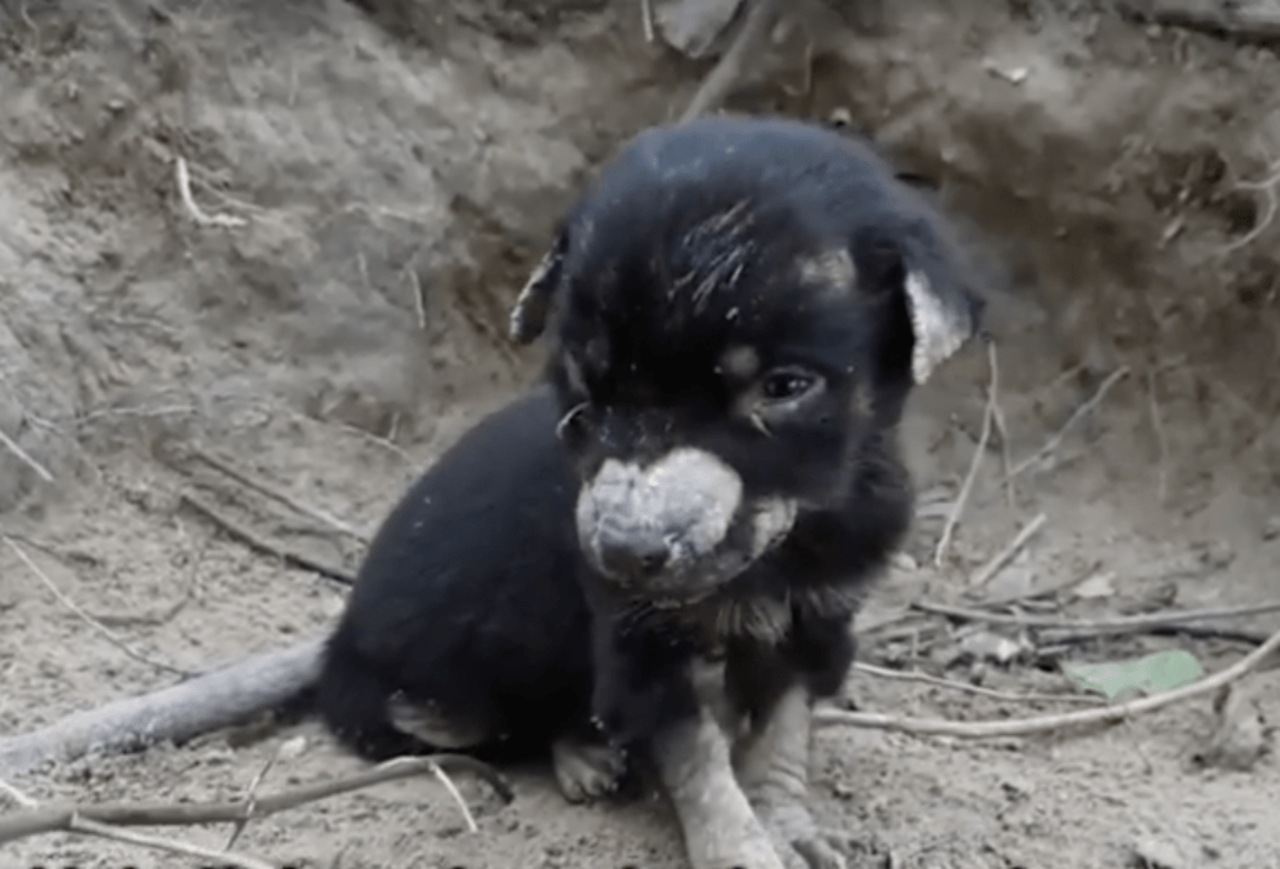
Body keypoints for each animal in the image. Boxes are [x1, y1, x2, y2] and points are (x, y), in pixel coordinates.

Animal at [317, 115, 977, 869]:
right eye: (583, 382)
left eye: (784, 386)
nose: (625, 552)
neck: (780, 555)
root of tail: (337, 649)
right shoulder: (642, 642)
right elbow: (697, 757)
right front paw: (738, 849)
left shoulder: (814, 619)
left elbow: (780, 732)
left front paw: (790, 827)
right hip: (429, 704)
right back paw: (583, 755)